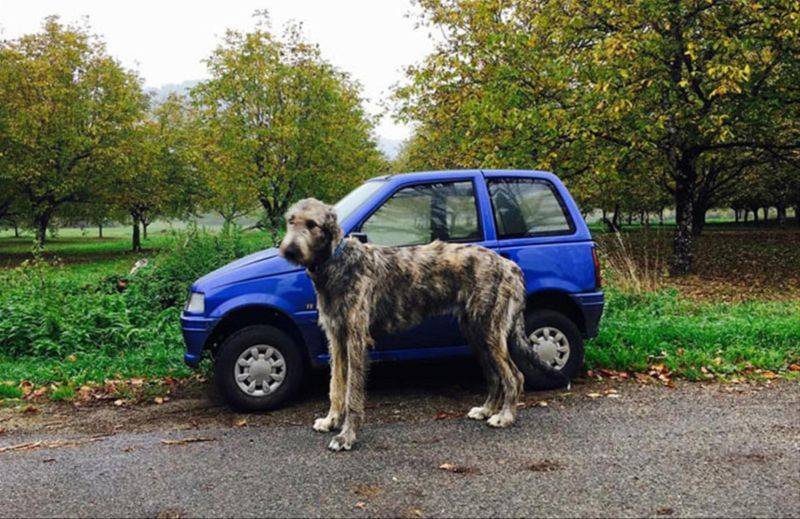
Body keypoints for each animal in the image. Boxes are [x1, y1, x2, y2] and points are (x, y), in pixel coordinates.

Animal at [282, 199, 564, 450]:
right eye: (290, 220)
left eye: (312, 224)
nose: (289, 251)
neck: (337, 261)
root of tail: (509, 266)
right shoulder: (336, 338)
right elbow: (335, 386)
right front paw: (331, 421)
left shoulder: (356, 339)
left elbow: (352, 392)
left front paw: (346, 437)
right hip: (475, 333)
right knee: (495, 376)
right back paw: (486, 409)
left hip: (490, 332)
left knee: (514, 376)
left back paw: (505, 417)